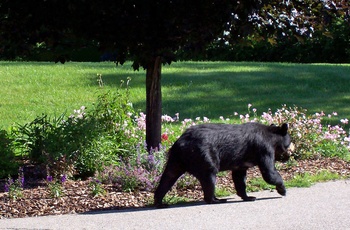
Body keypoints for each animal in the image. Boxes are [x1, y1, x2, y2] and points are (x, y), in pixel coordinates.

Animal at [154, 123, 292, 208]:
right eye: (289, 143)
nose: (288, 156)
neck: (272, 138)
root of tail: (180, 143)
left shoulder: (241, 162)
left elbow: (239, 177)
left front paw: (248, 196)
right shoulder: (264, 148)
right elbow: (269, 172)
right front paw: (282, 189)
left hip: (176, 159)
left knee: (168, 176)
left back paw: (159, 202)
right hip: (203, 156)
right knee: (209, 175)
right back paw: (217, 199)